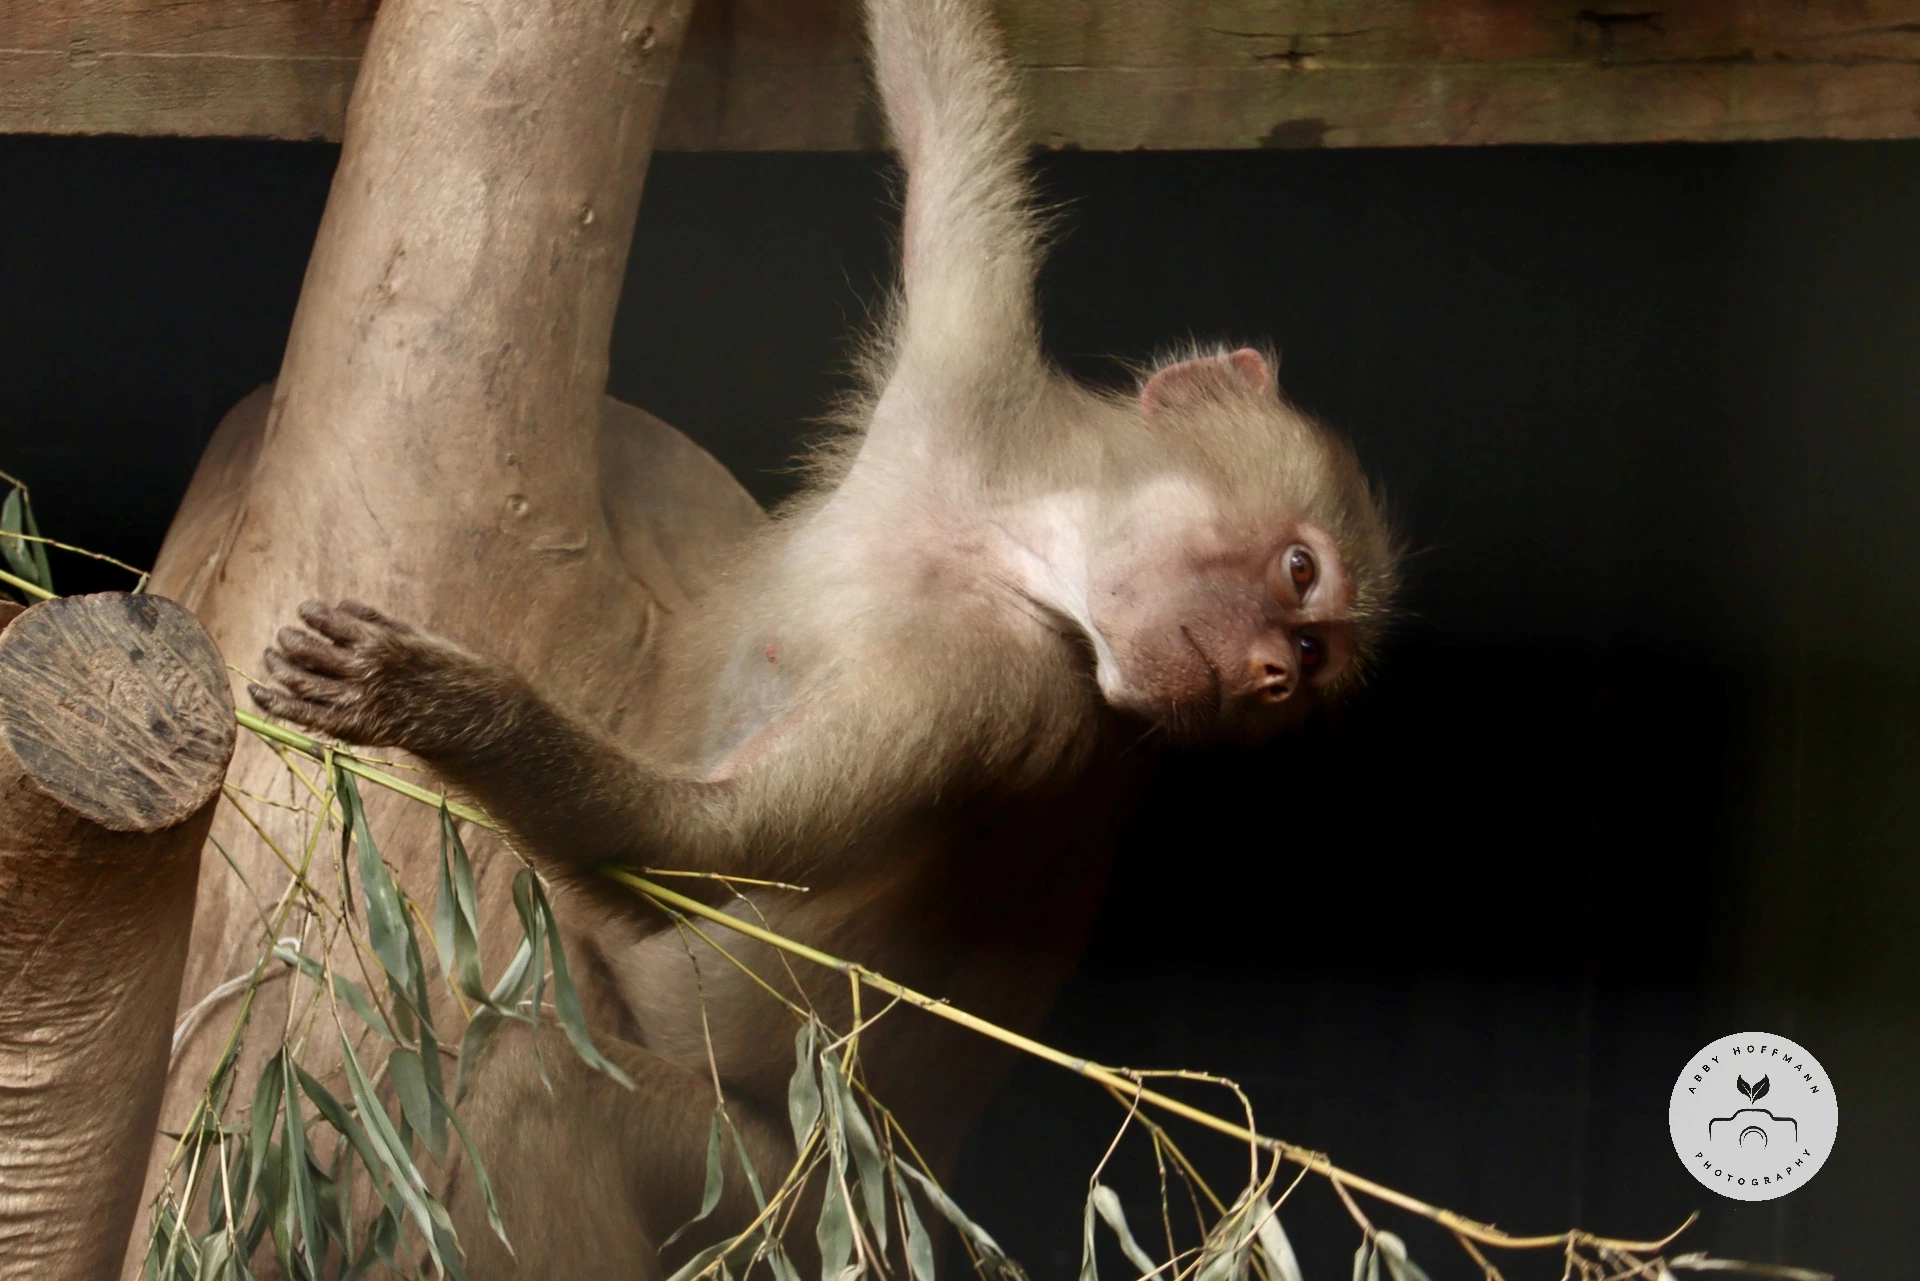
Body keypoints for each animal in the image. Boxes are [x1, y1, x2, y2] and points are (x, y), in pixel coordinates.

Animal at [246, 0, 1396, 1274]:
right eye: (1300, 579)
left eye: (1312, 659)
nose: (1270, 673)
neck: (1005, 546)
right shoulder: (969, 368)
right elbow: (935, 84)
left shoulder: (984, 695)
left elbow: (695, 852)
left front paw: (431, 700)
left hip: (769, 1195)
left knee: (543, 1080)